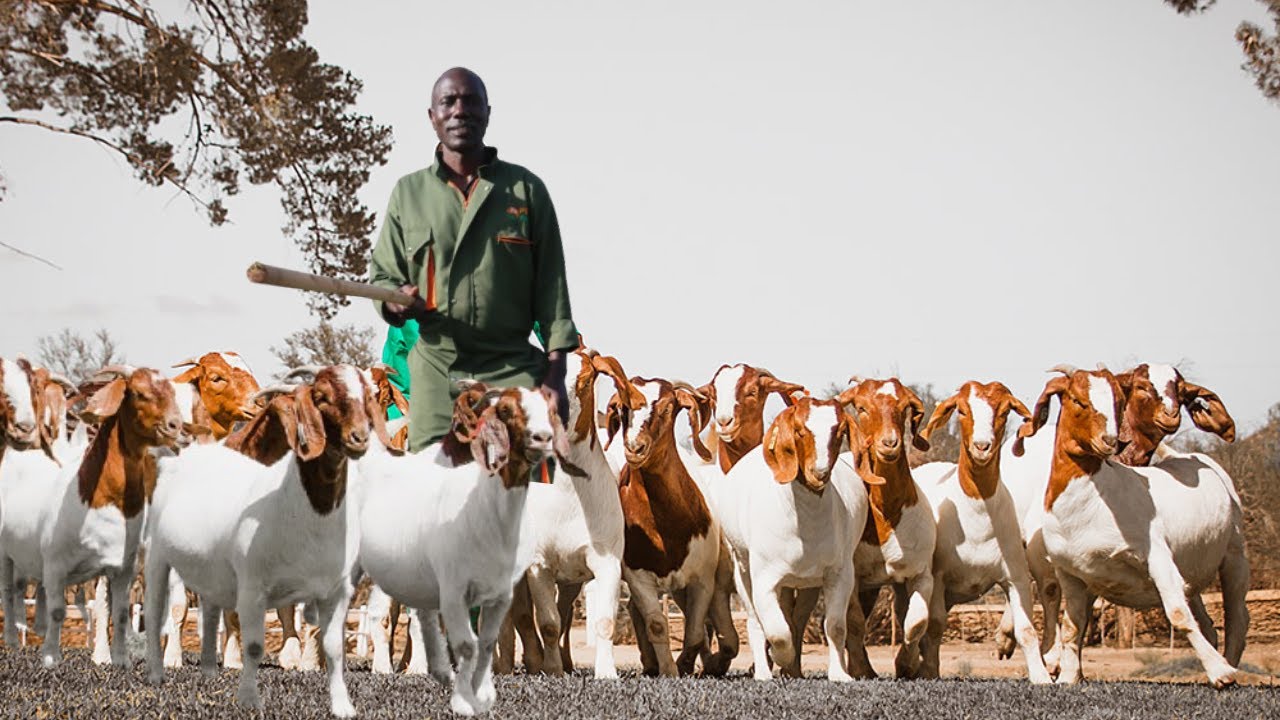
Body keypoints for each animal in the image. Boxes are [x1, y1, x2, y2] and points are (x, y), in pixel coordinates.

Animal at [1011, 366, 1247, 687]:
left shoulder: (1157, 556)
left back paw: (1228, 663)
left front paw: (1220, 672)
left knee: (1237, 617)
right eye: (1077, 399)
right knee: (1208, 623)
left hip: (1234, 555)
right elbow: (1073, 626)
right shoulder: (1070, 573)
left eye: (1118, 401)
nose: (1109, 440)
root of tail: (1188, 456)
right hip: (1193, 573)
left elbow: (1177, 614)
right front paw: (1068, 677)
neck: (1093, 502)